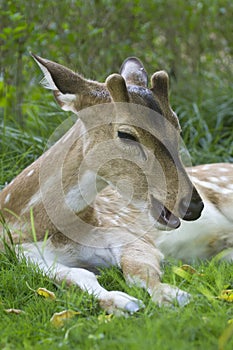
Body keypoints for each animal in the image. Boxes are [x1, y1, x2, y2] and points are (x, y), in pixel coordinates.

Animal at [0, 54, 211, 314]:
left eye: (177, 125)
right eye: (126, 134)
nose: (193, 206)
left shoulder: (123, 233)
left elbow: (140, 269)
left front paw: (172, 295)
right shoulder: (22, 254)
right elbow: (75, 275)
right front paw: (124, 303)